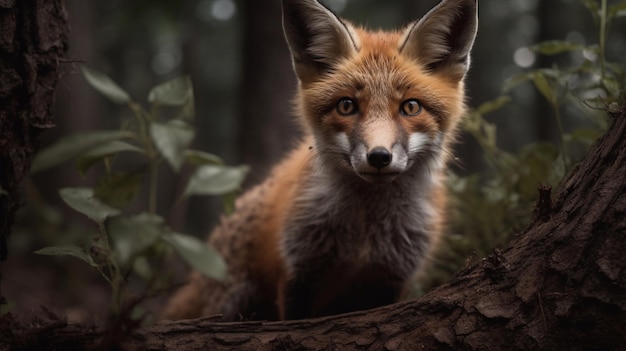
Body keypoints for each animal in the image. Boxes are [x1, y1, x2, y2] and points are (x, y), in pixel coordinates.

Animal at [161, 0, 478, 322]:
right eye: (346, 106)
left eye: (411, 107)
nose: (379, 156)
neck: (365, 231)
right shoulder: (297, 273)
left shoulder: (390, 280)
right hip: (234, 300)